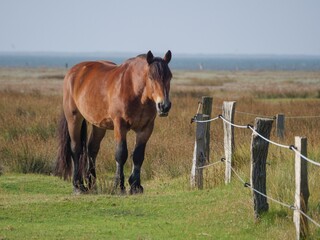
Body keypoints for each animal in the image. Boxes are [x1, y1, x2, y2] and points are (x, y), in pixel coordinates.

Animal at [56, 51, 171, 195]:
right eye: (151, 77)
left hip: (99, 125)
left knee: (92, 149)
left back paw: (92, 184)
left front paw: (135, 186)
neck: (134, 90)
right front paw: (119, 186)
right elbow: (121, 154)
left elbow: (138, 156)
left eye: (170, 76)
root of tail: (73, 72)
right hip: (74, 119)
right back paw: (78, 186)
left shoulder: (146, 128)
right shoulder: (120, 125)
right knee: (76, 149)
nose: (164, 106)